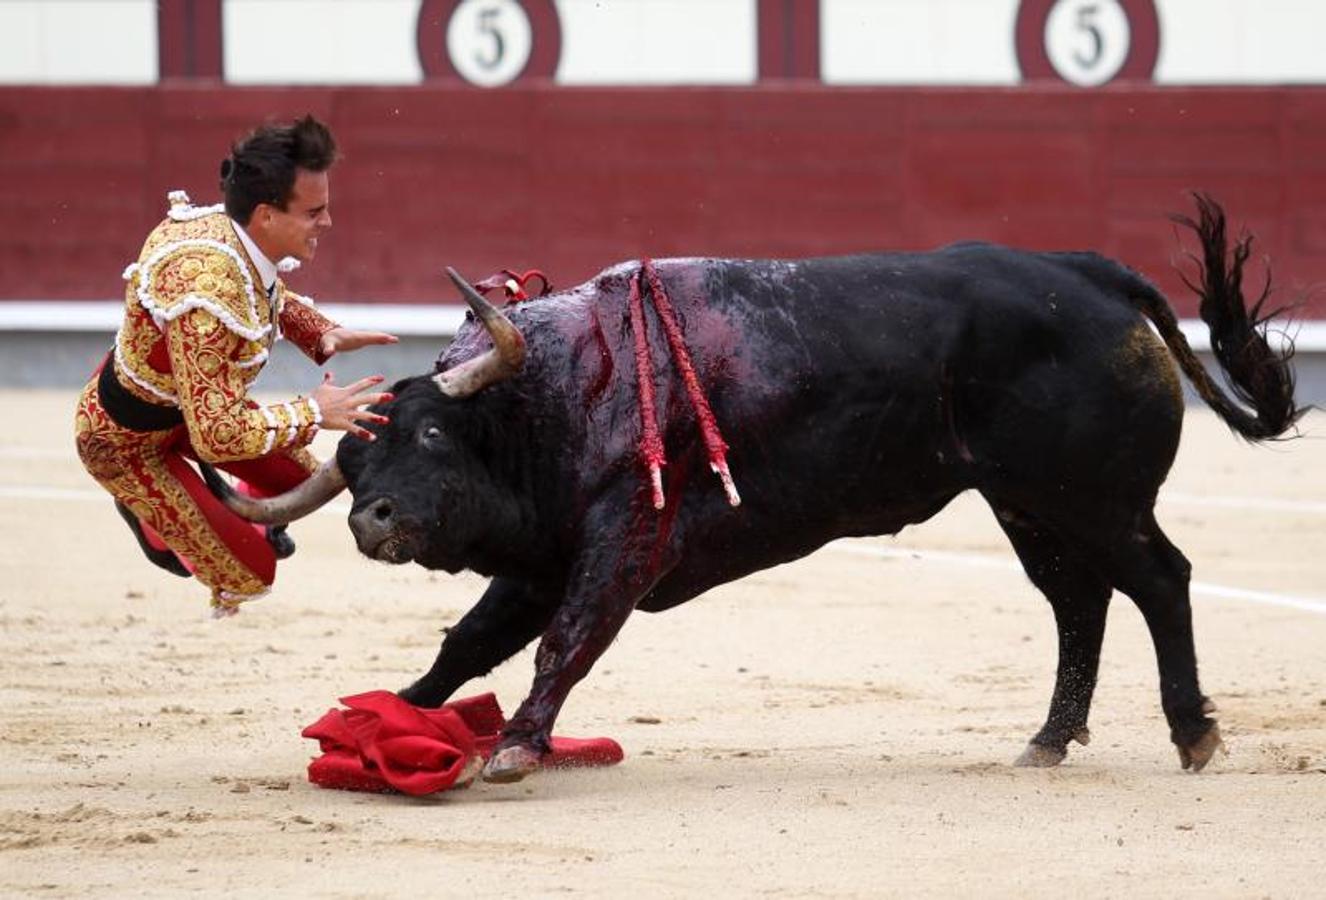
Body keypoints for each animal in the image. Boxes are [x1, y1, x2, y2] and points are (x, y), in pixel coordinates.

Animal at [201, 194, 1299, 779]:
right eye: (350, 463)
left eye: (431, 430)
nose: (372, 519)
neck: (553, 392)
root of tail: (1093, 273)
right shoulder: (545, 554)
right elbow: (468, 643)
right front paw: (389, 714)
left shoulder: (621, 542)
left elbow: (568, 641)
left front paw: (513, 747)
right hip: (1029, 506)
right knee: (1080, 604)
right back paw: (1048, 740)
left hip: (1095, 498)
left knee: (1157, 580)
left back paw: (1194, 734)